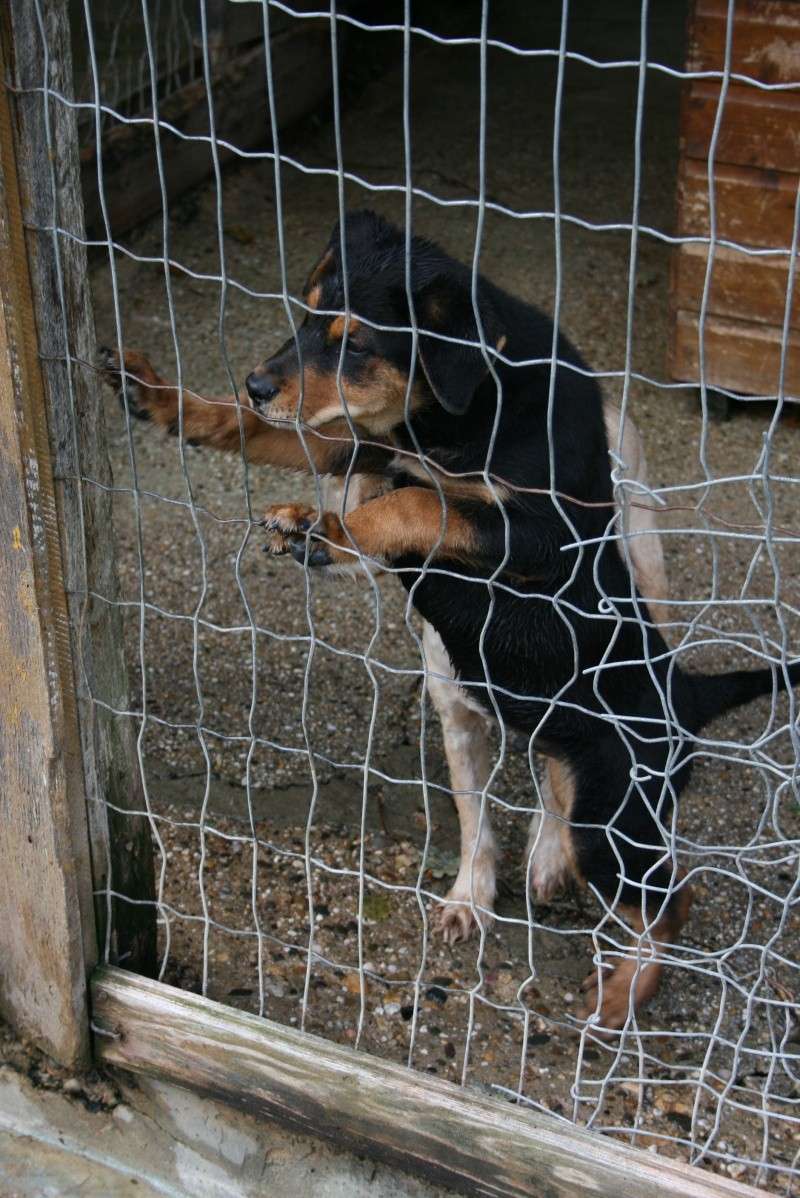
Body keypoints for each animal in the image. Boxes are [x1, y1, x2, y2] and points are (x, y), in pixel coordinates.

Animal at [101, 213, 800, 1030]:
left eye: (357, 342)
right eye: (307, 316)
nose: (258, 381)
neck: (452, 417)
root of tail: (686, 695)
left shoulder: (539, 533)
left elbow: (423, 501)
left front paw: (327, 528)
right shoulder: (357, 443)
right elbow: (262, 432)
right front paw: (157, 395)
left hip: (613, 815)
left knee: (672, 899)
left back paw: (621, 995)